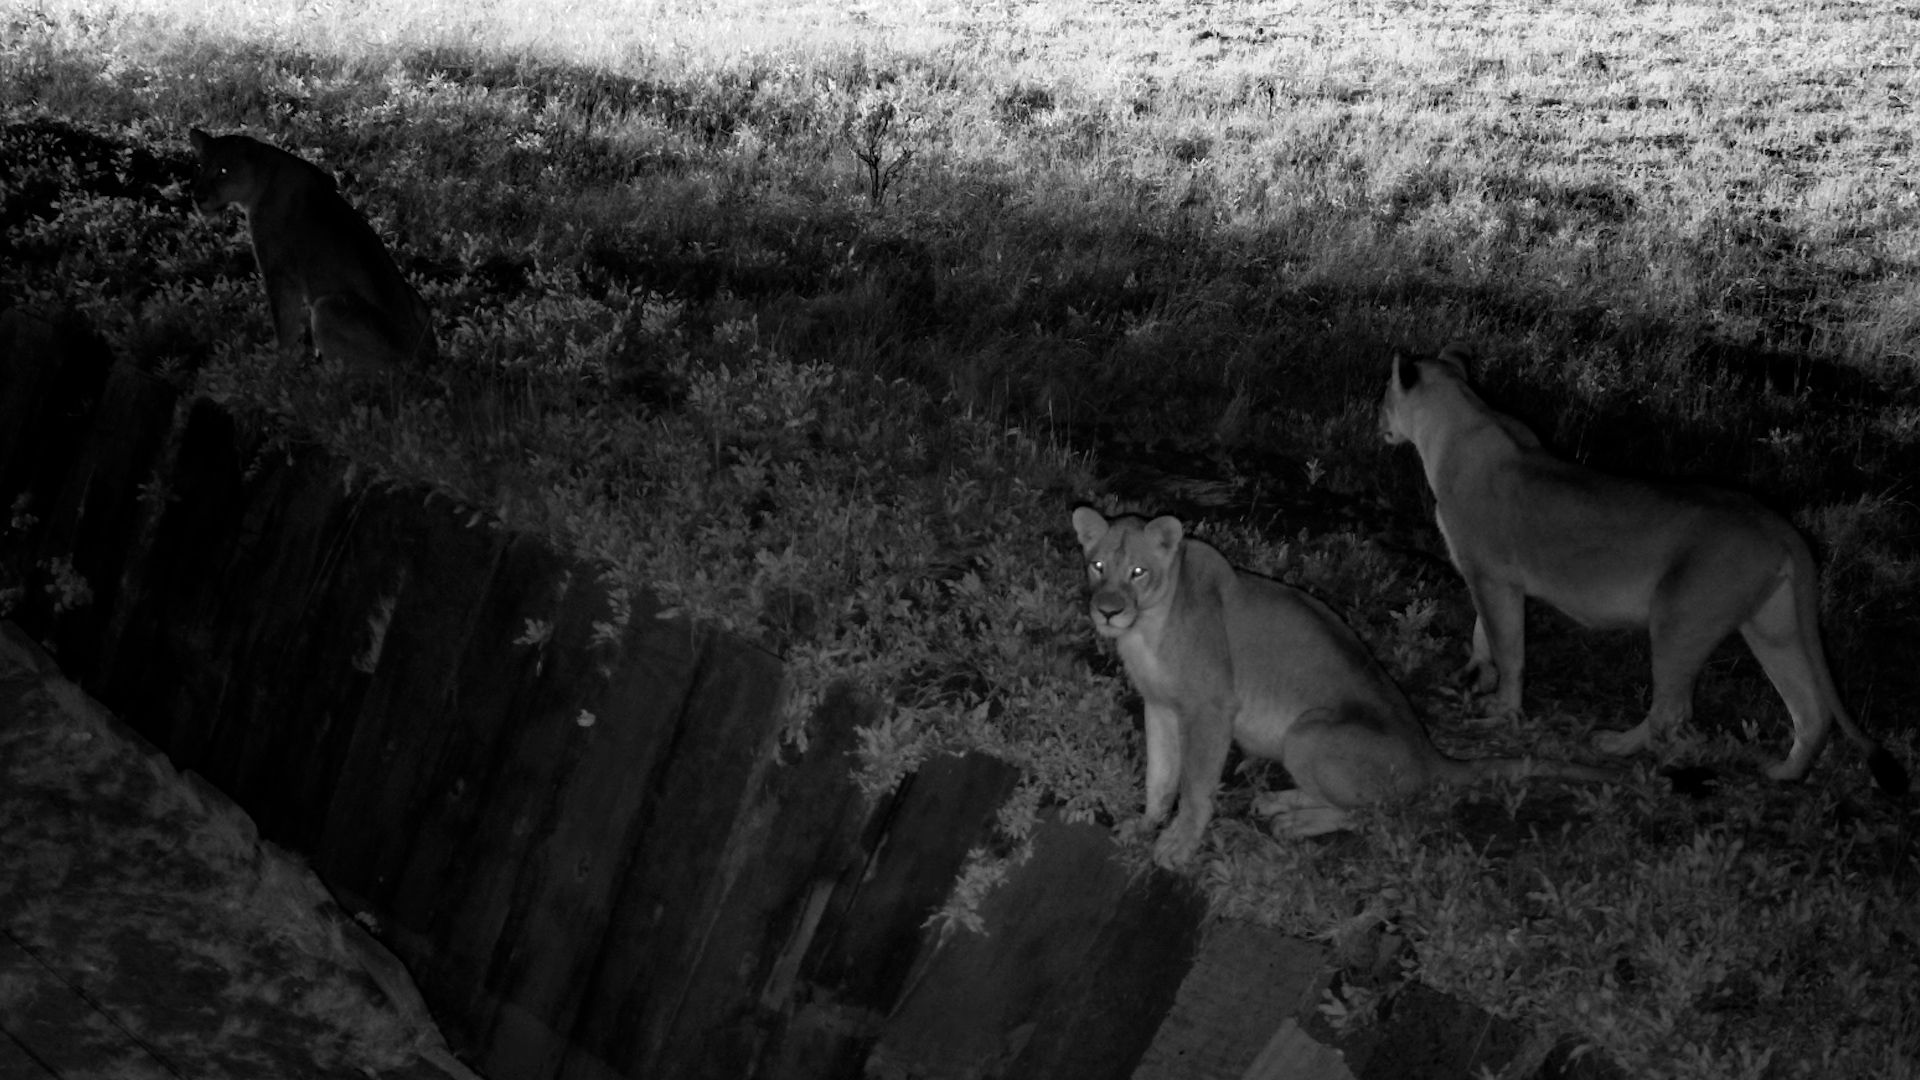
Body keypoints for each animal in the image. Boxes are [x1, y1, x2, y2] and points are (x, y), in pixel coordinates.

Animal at [189, 127, 436, 374]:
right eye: (200, 166)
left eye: (223, 170)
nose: (198, 198)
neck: (262, 176)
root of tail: (426, 363)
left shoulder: (278, 273)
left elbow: (284, 326)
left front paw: (278, 365)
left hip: (326, 307)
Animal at [1072, 507, 1618, 868]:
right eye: (1097, 566)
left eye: (1138, 571)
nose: (1107, 610)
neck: (1144, 629)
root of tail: (1430, 756)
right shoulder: (1160, 707)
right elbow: (1160, 777)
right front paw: (1144, 825)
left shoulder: (1209, 710)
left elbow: (1194, 785)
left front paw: (1178, 843)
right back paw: (1279, 803)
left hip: (1310, 732)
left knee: (1379, 814)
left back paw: (1291, 821)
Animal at [1379, 344, 1907, 796]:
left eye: (1385, 397)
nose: (1377, 418)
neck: (1460, 416)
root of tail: (1778, 524)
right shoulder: (1495, 580)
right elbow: (1483, 634)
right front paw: (1474, 676)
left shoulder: (1490, 574)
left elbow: (1506, 646)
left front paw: (1501, 708)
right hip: (1772, 626)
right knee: (1811, 710)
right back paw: (1784, 773)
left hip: (1680, 618)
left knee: (1674, 707)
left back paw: (1615, 744)